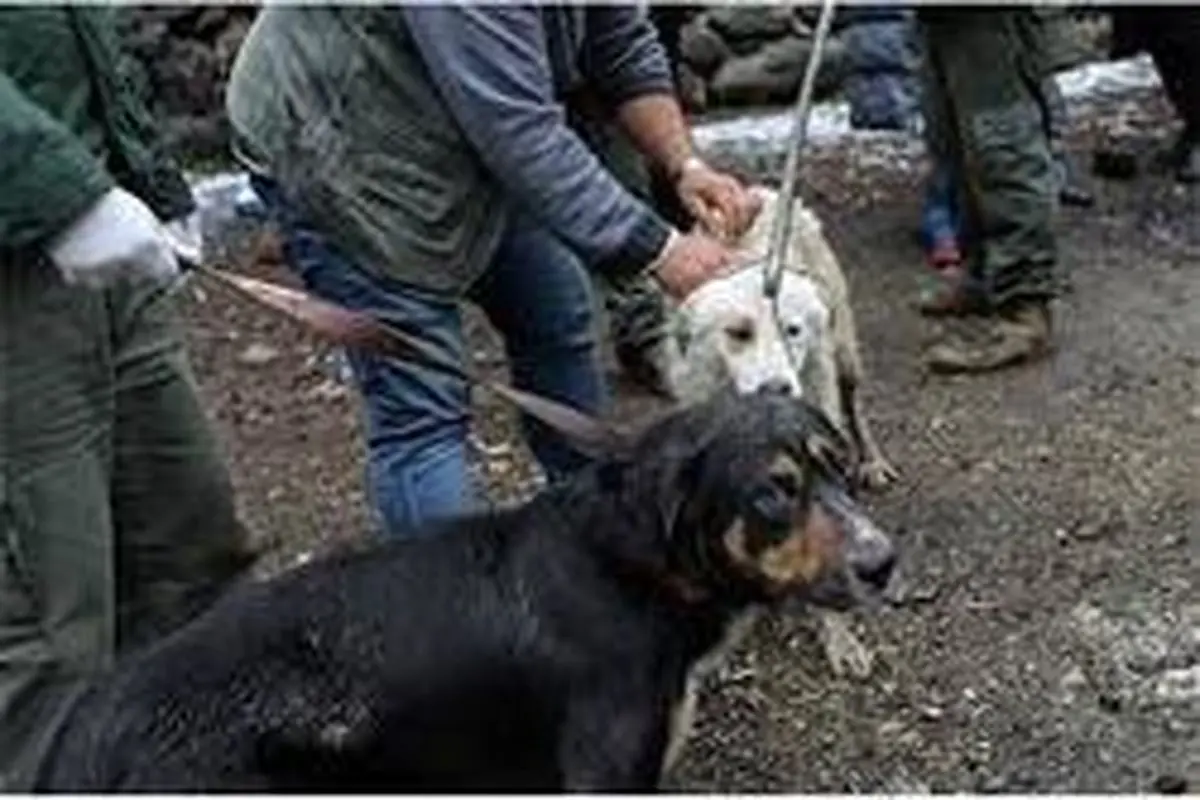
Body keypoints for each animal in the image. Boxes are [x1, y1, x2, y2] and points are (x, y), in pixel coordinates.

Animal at [37, 391, 897, 791]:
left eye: (841, 469)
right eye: (775, 493)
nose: (884, 562)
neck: (633, 567)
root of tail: (80, 736)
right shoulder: (603, 775)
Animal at [662, 184, 897, 681]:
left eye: (793, 331)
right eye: (738, 333)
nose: (777, 387)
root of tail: (765, 191)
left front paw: (838, 636)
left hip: (844, 349)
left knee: (855, 401)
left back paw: (872, 459)